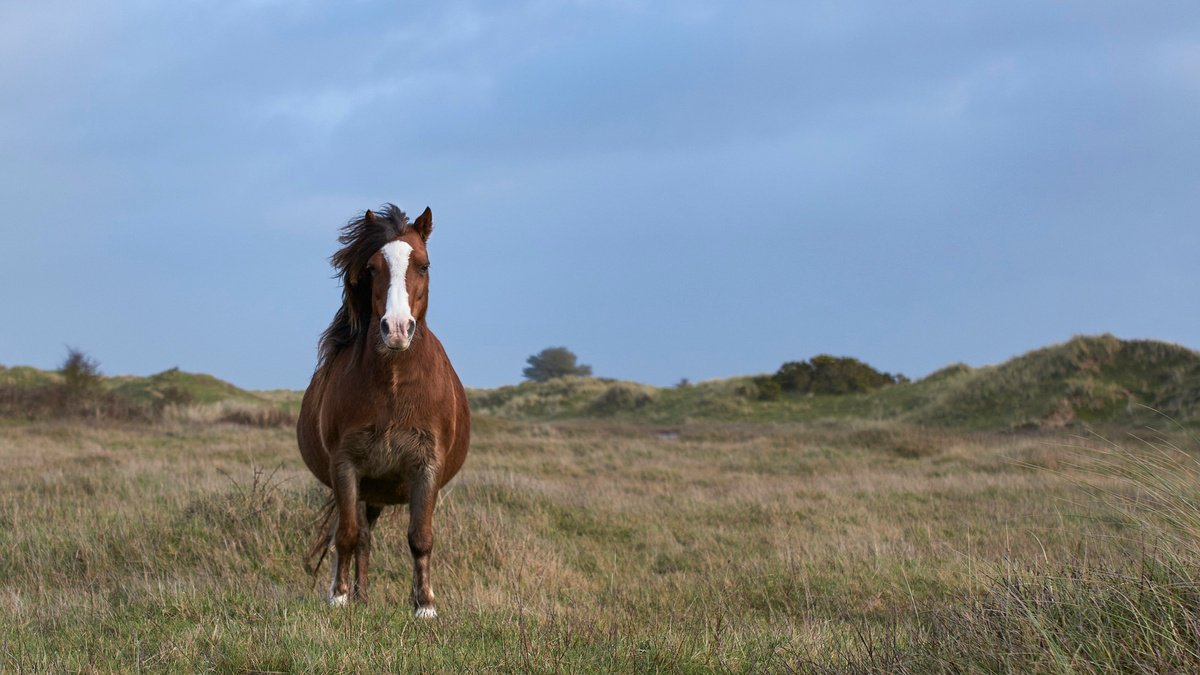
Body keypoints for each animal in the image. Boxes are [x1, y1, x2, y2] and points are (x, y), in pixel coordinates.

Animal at [297, 200, 470, 614]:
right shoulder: (346, 465)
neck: (394, 385)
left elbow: (421, 537)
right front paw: (339, 598)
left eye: (423, 265)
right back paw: (357, 596)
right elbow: (346, 535)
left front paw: (424, 605)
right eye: (372, 268)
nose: (396, 329)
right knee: (359, 537)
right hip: (365, 489)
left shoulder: (427, 465)